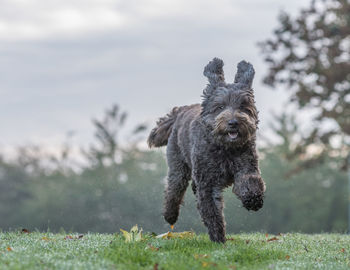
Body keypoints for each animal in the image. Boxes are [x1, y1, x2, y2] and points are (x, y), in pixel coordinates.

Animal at [147, 58, 266, 243]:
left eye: (243, 106)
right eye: (220, 106)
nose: (233, 122)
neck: (225, 149)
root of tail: (181, 110)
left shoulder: (246, 166)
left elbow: (250, 182)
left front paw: (253, 200)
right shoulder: (207, 183)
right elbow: (211, 211)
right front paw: (218, 238)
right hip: (178, 167)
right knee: (173, 190)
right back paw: (170, 215)